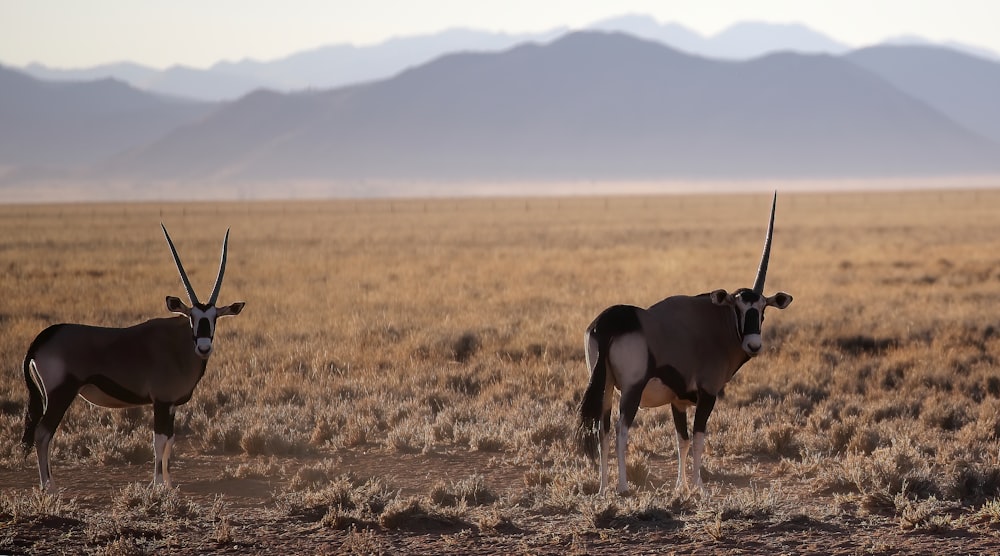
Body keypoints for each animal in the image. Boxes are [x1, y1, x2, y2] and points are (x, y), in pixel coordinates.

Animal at [21, 224, 244, 488]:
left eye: (214, 318)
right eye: (192, 317)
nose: (203, 347)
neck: (178, 346)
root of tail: (43, 338)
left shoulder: (171, 406)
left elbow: (170, 441)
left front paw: (169, 485)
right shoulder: (161, 401)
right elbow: (159, 441)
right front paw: (156, 485)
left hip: (49, 396)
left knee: (44, 433)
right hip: (61, 393)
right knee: (43, 433)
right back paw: (50, 488)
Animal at [580, 193, 796, 494]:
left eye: (763, 309)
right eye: (739, 308)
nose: (754, 345)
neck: (715, 323)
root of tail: (607, 323)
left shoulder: (678, 400)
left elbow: (680, 440)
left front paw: (679, 486)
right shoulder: (707, 393)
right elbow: (697, 438)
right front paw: (699, 487)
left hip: (605, 384)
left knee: (602, 430)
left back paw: (602, 489)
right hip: (632, 388)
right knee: (622, 430)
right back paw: (622, 487)